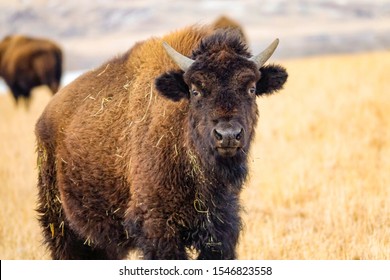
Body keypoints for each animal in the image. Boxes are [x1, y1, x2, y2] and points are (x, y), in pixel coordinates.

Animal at [35, 22, 286, 260]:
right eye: (195, 90)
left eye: (251, 88)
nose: (227, 135)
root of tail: (45, 116)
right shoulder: (157, 225)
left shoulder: (221, 226)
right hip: (62, 226)